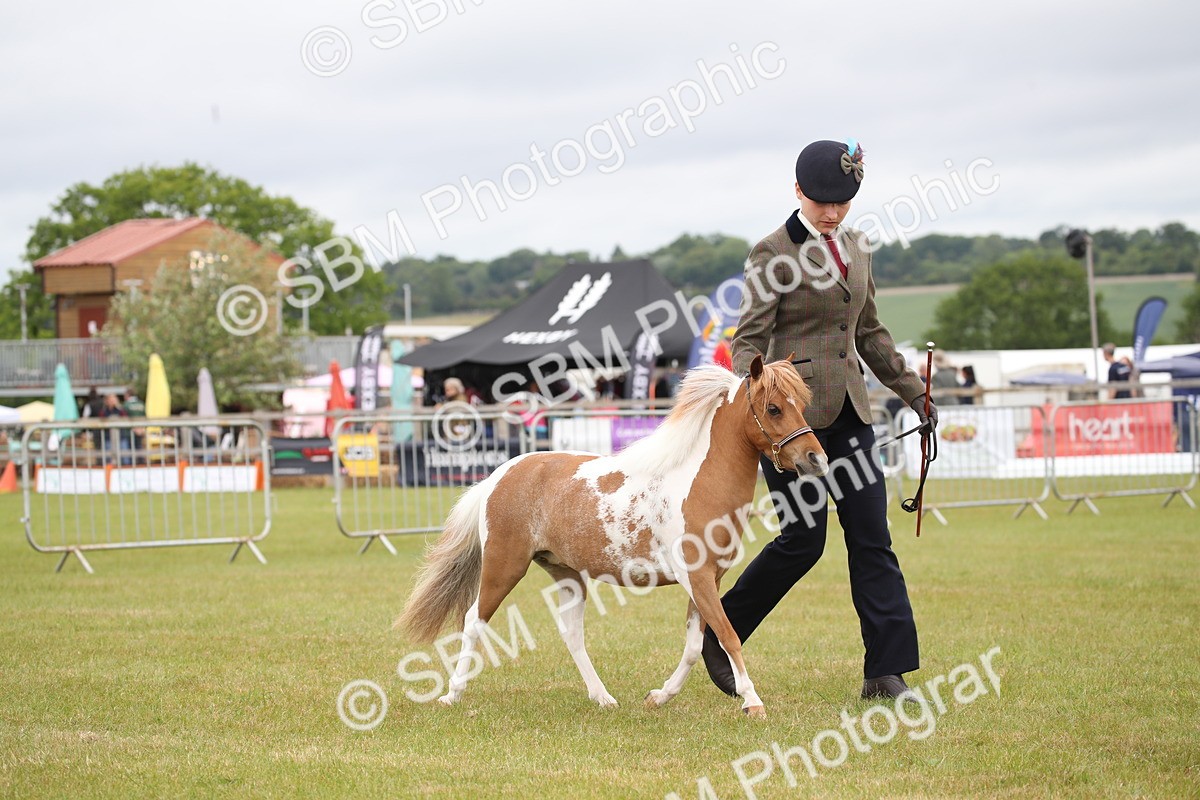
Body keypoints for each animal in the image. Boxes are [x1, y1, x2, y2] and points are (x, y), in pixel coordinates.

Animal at [397, 355, 828, 717]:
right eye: (773, 408)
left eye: (801, 404)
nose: (816, 459)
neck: (699, 483)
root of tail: (499, 476)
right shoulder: (697, 577)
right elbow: (729, 636)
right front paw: (752, 702)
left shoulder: (708, 580)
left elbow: (694, 646)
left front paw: (659, 696)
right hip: (504, 566)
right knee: (474, 620)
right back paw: (452, 694)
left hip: (566, 574)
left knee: (571, 633)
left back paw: (603, 697)